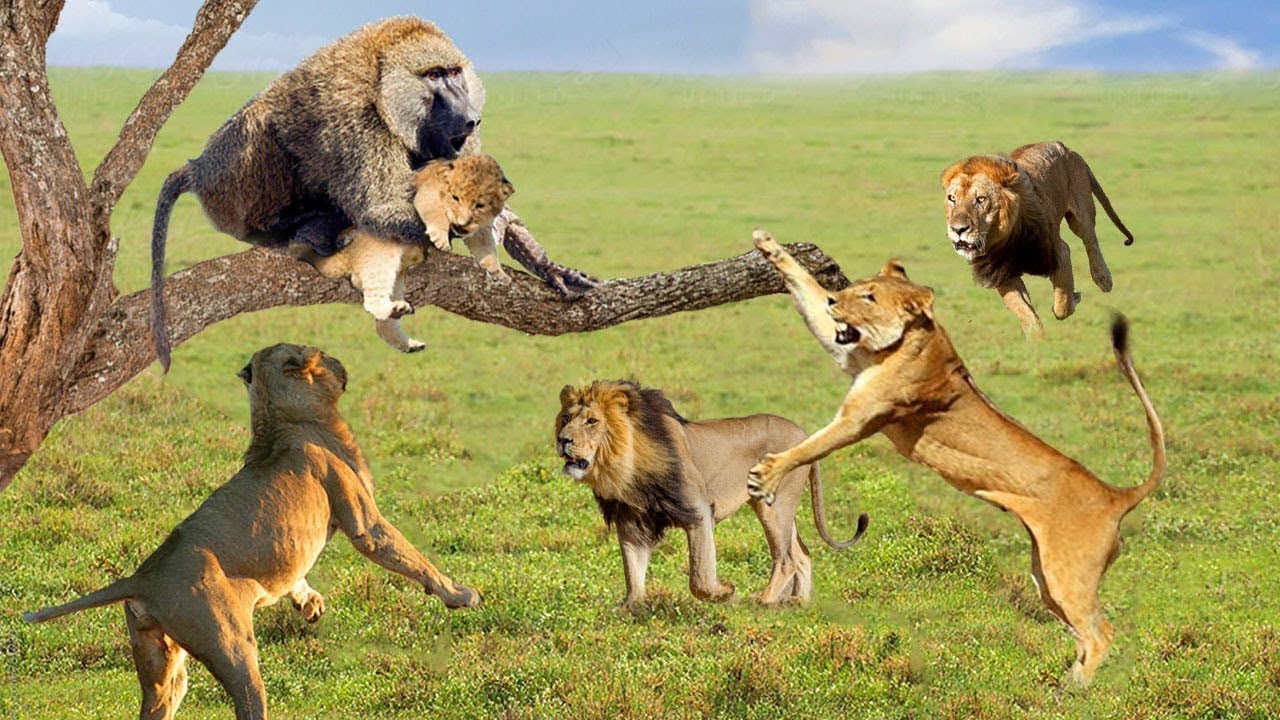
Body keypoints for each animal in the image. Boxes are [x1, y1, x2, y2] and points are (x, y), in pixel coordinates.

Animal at [24, 344, 479, 719]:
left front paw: (309, 603)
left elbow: (298, 578)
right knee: (248, 700)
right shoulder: (363, 519)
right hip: (232, 645)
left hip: (160, 664)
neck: (279, 415)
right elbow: (412, 556)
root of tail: (142, 577)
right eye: (322, 355)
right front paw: (460, 595)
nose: (341, 362)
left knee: (160, 699)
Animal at [300, 155, 515, 352]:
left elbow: (485, 247)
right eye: (455, 197)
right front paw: (440, 237)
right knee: (372, 301)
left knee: (382, 323)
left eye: (480, 205)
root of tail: (348, 250)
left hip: (397, 278)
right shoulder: (426, 193)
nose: (461, 224)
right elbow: (434, 211)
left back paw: (409, 342)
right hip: (384, 254)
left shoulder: (481, 227)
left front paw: (499, 274)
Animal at [556, 380, 869, 607]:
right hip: (776, 507)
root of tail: (805, 436)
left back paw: (763, 601)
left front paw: (725, 592)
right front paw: (630, 608)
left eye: (592, 421)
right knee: (801, 554)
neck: (624, 467)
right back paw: (797, 602)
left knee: (786, 559)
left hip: (775, 507)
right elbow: (633, 571)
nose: (562, 440)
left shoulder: (697, 511)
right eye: (566, 418)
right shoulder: (633, 522)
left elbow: (700, 576)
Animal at [747, 230, 1164, 686]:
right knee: (1082, 633)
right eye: (855, 287)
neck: (911, 338)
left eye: (869, 297)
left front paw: (766, 475)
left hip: (1067, 573)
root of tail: (1116, 496)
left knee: (1101, 632)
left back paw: (1073, 692)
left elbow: (809, 447)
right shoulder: (849, 355)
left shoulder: (861, 418)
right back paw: (1063, 685)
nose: (835, 302)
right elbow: (806, 287)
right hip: (1046, 577)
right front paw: (768, 246)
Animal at [940, 141, 1134, 335]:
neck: (1006, 240)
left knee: (1090, 240)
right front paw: (1037, 338)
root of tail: (1066, 148)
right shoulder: (1001, 274)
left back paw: (1103, 279)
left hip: (1081, 212)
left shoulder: (1059, 253)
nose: (957, 229)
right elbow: (1026, 313)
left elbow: (1061, 304)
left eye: (981, 199)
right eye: (952, 198)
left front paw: (1073, 298)